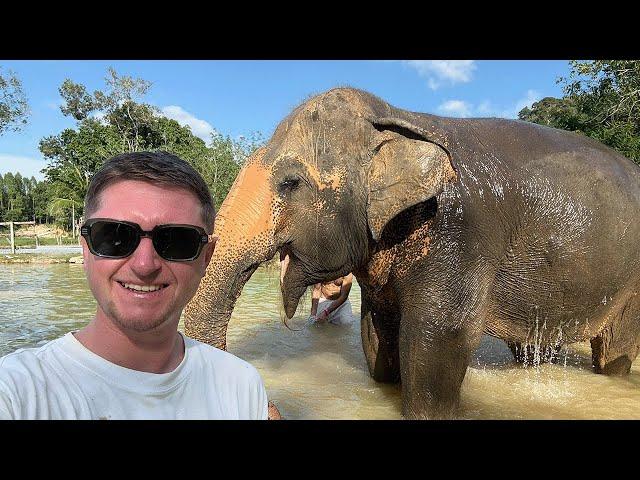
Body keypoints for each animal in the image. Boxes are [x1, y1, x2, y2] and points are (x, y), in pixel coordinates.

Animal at [182, 88, 640, 418]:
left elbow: (438, 338)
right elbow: (378, 335)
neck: (397, 118)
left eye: (291, 183)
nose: (274, 407)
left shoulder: (460, 235)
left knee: (615, 349)